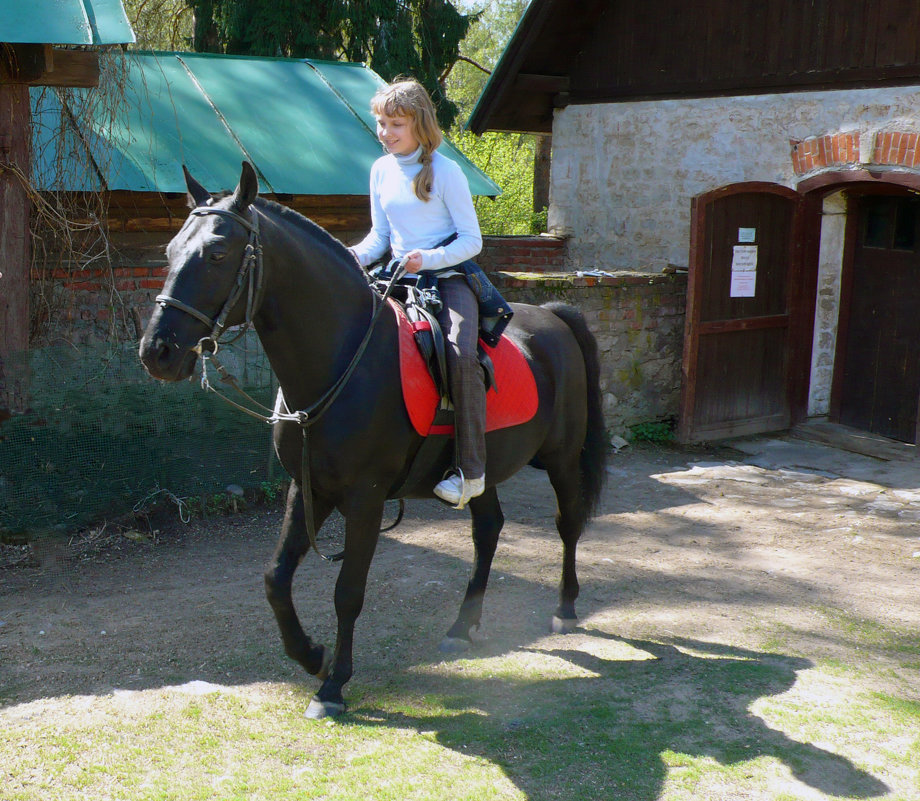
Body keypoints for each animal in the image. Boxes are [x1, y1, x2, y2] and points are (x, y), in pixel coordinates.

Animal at [140, 162, 608, 720]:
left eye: (216, 252)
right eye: (169, 251)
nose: (157, 351)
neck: (342, 363)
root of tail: (555, 315)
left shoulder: (364, 499)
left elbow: (348, 591)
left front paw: (333, 685)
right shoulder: (308, 489)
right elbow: (275, 578)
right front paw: (312, 656)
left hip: (562, 459)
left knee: (567, 523)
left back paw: (565, 607)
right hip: (481, 469)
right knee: (489, 530)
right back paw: (462, 626)